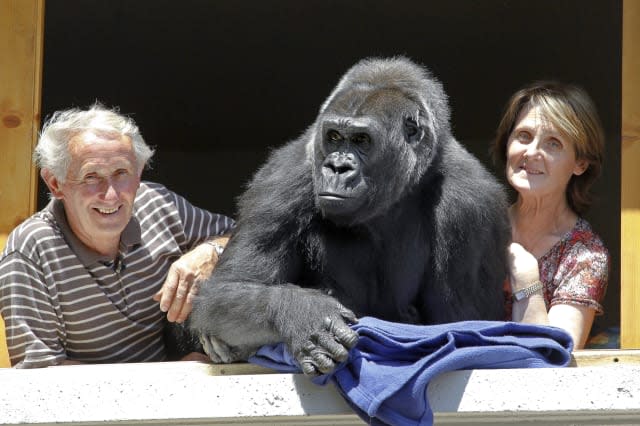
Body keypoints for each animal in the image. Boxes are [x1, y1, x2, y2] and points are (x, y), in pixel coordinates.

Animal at [189, 56, 510, 376]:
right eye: (333, 136)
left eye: (361, 140)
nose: (337, 167)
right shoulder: (285, 173)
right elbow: (227, 289)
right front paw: (303, 313)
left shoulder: (471, 204)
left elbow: (464, 329)